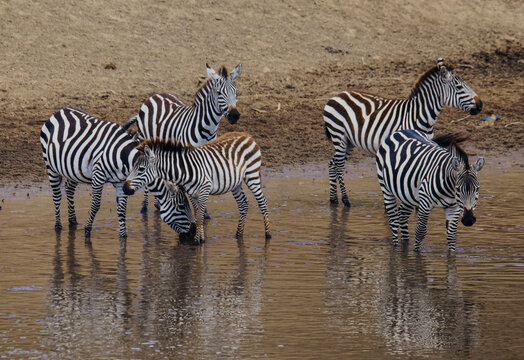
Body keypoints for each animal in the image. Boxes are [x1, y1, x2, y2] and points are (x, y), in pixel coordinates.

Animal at [39, 108, 194, 240]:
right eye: (181, 207)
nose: (192, 233)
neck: (125, 160)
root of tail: (59, 111)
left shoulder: (121, 182)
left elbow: (122, 208)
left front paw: (123, 235)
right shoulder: (99, 175)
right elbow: (96, 204)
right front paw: (87, 230)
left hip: (74, 170)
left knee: (70, 189)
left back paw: (73, 220)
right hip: (51, 166)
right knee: (57, 195)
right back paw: (58, 226)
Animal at [122, 132, 270, 245]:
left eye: (141, 169)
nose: (124, 188)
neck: (184, 170)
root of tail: (247, 135)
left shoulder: (204, 190)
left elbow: (199, 217)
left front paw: (198, 241)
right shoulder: (192, 193)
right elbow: (198, 213)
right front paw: (201, 237)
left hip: (252, 175)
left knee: (262, 202)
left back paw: (268, 234)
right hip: (235, 183)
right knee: (243, 204)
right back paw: (239, 234)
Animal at [124, 63, 243, 214]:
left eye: (236, 92)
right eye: (219, 93)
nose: (235, 115)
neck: (207, 128)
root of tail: (156, 95)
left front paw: (204, 212)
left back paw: (158, 203)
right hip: (146, 138)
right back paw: (145, 206)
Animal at [324, 57, 484, 207]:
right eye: (459, 87)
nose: (480, 105)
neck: (418, 114)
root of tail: (338, 94)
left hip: (349, 142)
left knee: (332, 164)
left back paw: (333, 199)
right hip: (339, 136)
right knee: (339, 166)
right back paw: (345, 200)